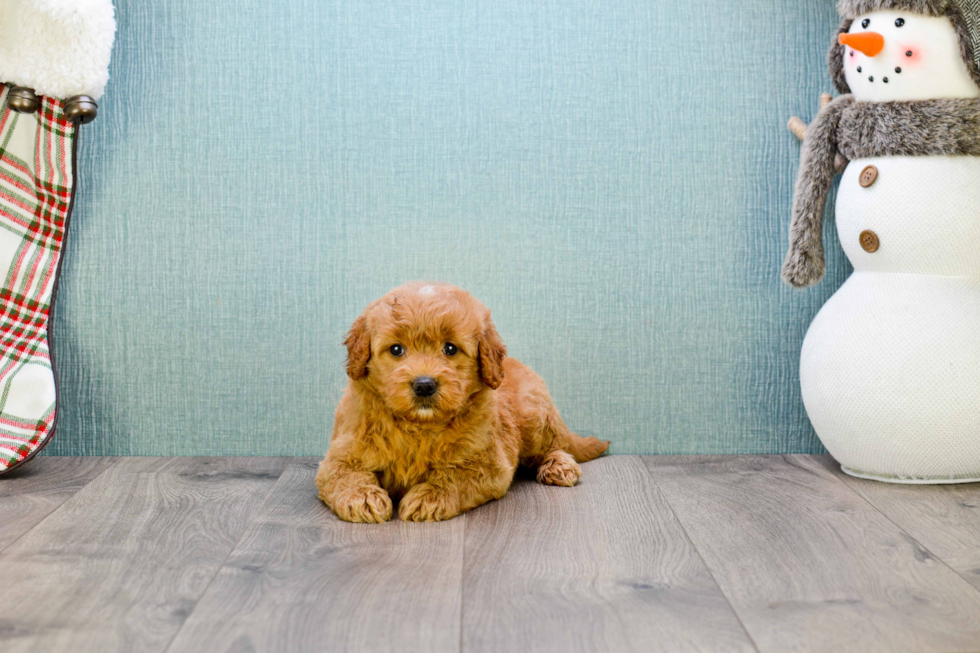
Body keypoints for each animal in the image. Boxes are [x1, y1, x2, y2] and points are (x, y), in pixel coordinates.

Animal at [316, 282, 604, 524]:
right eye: (396, 349)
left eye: (450, 348)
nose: (424, 384)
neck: (418, 425)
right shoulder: (342, 453)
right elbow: (344, 474)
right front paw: (362, 497)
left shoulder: (488, 463)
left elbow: (455, 476)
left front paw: (429, 496)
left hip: (535, 417)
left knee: (556, 445)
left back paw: (559, 466)